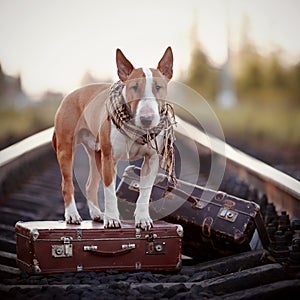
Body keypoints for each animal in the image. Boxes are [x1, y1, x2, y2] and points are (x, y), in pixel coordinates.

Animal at [51, 47, 173, 230]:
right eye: (134, 87)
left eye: (158, 87)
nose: (147, 119)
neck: (137, 130)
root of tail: (69, 95)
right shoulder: (109, 159)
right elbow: (109, 192)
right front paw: (113, 219)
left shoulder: (151, 159)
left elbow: (145, 191)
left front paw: (143, 218)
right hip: (66, 148)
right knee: (67, 184)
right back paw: (72, 214)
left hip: (96, 152)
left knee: (90, 185)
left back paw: (97, 214)